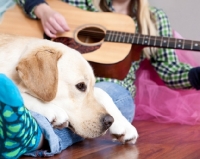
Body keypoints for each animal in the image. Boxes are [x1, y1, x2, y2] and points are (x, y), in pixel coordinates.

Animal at [0, 33, 138, 144]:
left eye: (91, 85)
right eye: (80, 86)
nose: (110, 121)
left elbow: (102, 92)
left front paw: (124, 125)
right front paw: (52, 109)